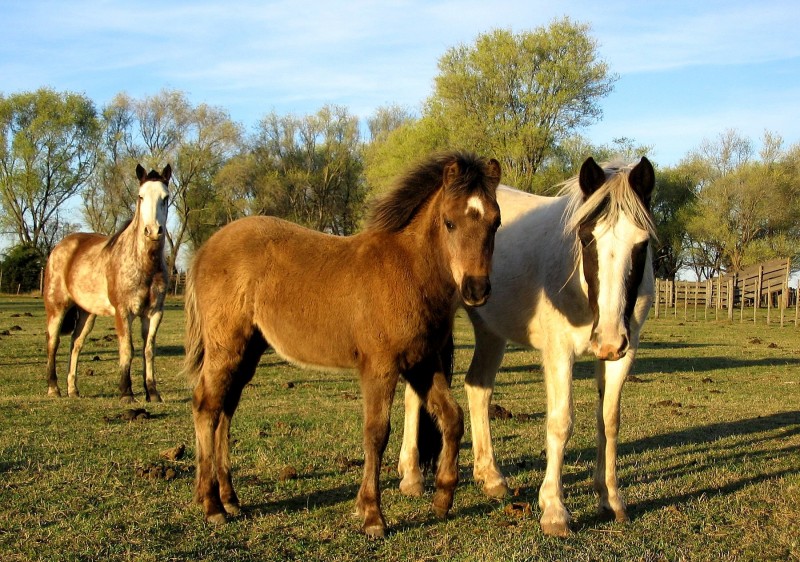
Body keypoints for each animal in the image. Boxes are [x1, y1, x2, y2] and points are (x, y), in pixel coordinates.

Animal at [400, 154, 656, 532]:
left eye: (641, 243)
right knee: (413, 394)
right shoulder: (559, 353)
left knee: (477, 388)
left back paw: (490, 477)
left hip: (491, 331)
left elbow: (609, 421)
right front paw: (554, 510)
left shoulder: (625, 351)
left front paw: (610, 499)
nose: (609, 338)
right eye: (586, 238)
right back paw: (411, 476)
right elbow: (561, 422)